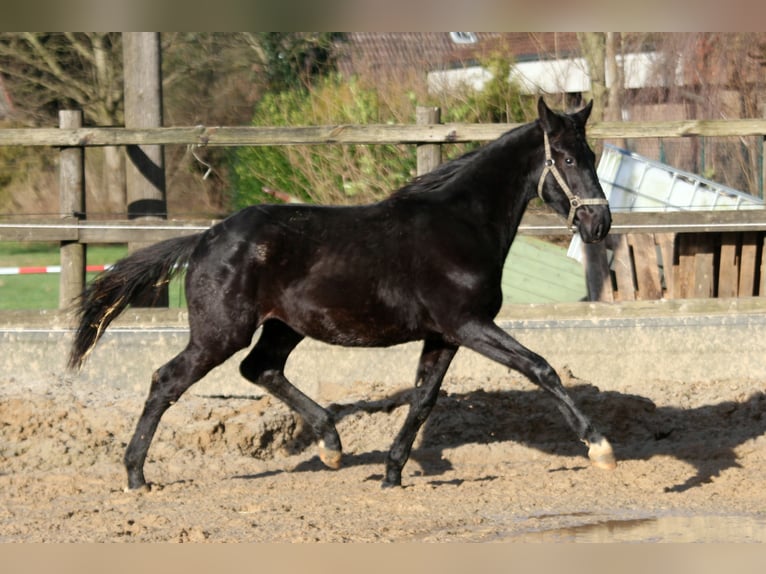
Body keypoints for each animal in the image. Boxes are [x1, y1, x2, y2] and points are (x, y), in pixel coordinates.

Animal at [69, 98, 616, 490]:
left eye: (593, 156)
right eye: (567, 158)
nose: (599, 224)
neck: (461, 224)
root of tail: (204, 237)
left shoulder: (444, 335)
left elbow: (423, 399)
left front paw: (392, 474)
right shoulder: (468, 324)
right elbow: (540, 368)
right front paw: (599, 446)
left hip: (282, 327)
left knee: (260, 369)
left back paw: (332, 445)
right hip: (221, 331)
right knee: (167, 379)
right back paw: (136, 476)